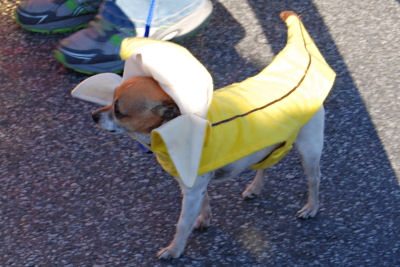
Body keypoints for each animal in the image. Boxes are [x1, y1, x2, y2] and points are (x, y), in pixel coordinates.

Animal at [91, 76, 324, 260]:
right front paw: (204, 220)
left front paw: (174, 250)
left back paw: (311, 208)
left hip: (309, 150)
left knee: (314, 180)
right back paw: (254, 188)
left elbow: (183, 223)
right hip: (267, 146)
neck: (170, 127)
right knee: (265, 166)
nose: (93, 114)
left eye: (119, 111)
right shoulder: (193, 185)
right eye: (110, 99)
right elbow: (205, 201)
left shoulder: (192, 191)